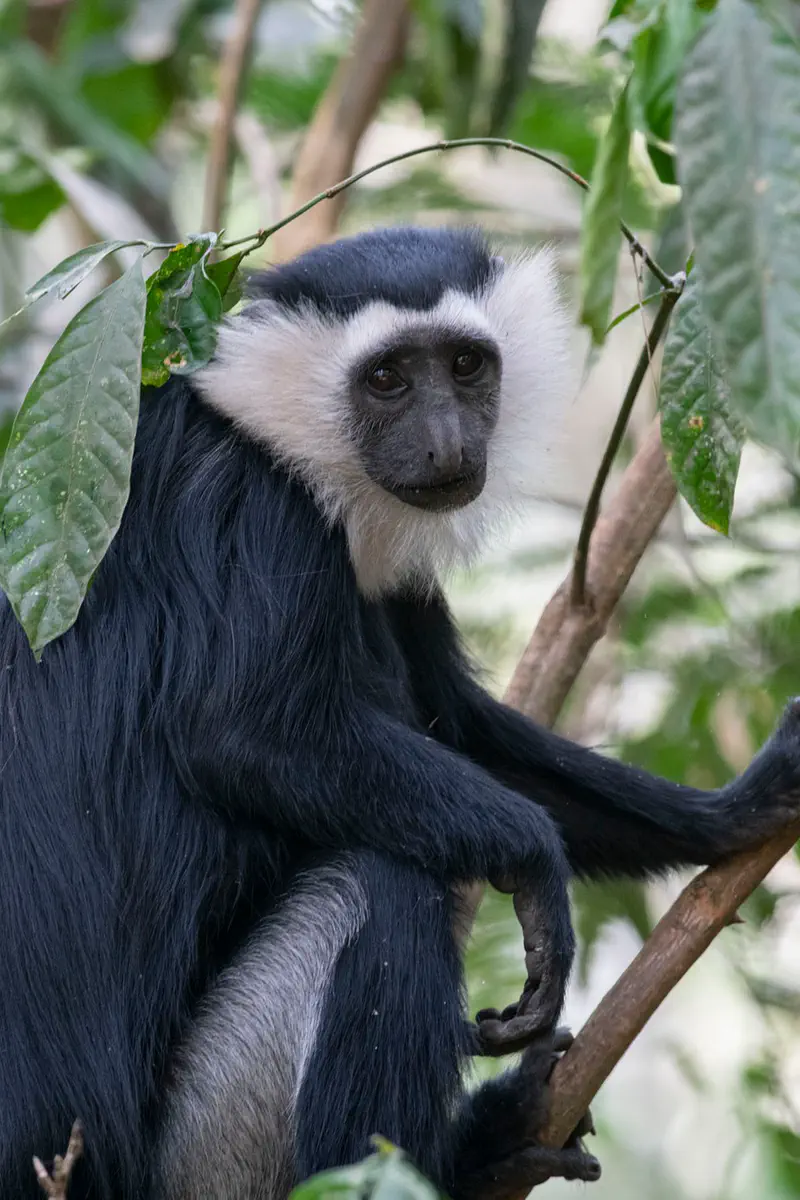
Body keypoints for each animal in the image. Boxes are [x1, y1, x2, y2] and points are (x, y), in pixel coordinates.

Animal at [1, 225, 800, 1200]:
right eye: (386, 379)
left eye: (464, 366)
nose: (447, 444)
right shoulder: (250, 507)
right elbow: (241, 734)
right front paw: (537, 871)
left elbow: (457, 730)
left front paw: (741, 808)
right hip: (202, 1154)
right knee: (379, 883)